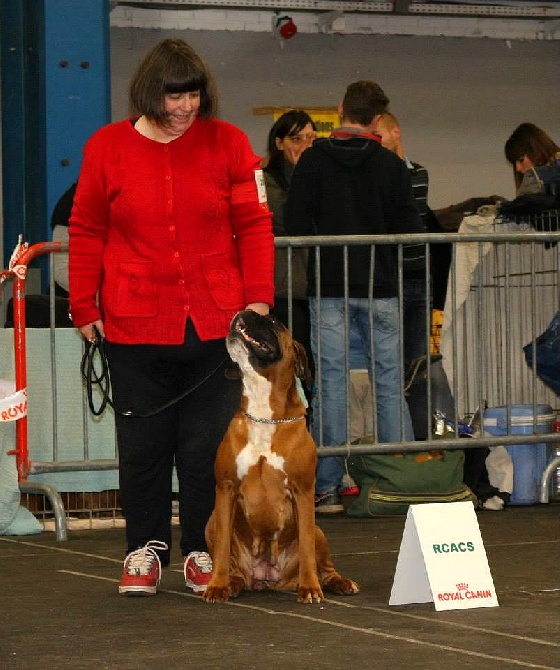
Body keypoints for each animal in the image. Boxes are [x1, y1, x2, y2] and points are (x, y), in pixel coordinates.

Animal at [202, 312, 358, 608]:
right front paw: (217, 585)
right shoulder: (225, 490)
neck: (264, 412)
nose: (245, 311)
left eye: (275, 323)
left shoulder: (303, 492)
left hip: (319, 532)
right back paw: (234, 582)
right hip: (212, 521)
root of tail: (266, 579)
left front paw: (309, 588)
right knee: (230, 560)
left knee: (325, 565)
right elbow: (223, 548)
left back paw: (338, 582)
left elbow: (306, 546)